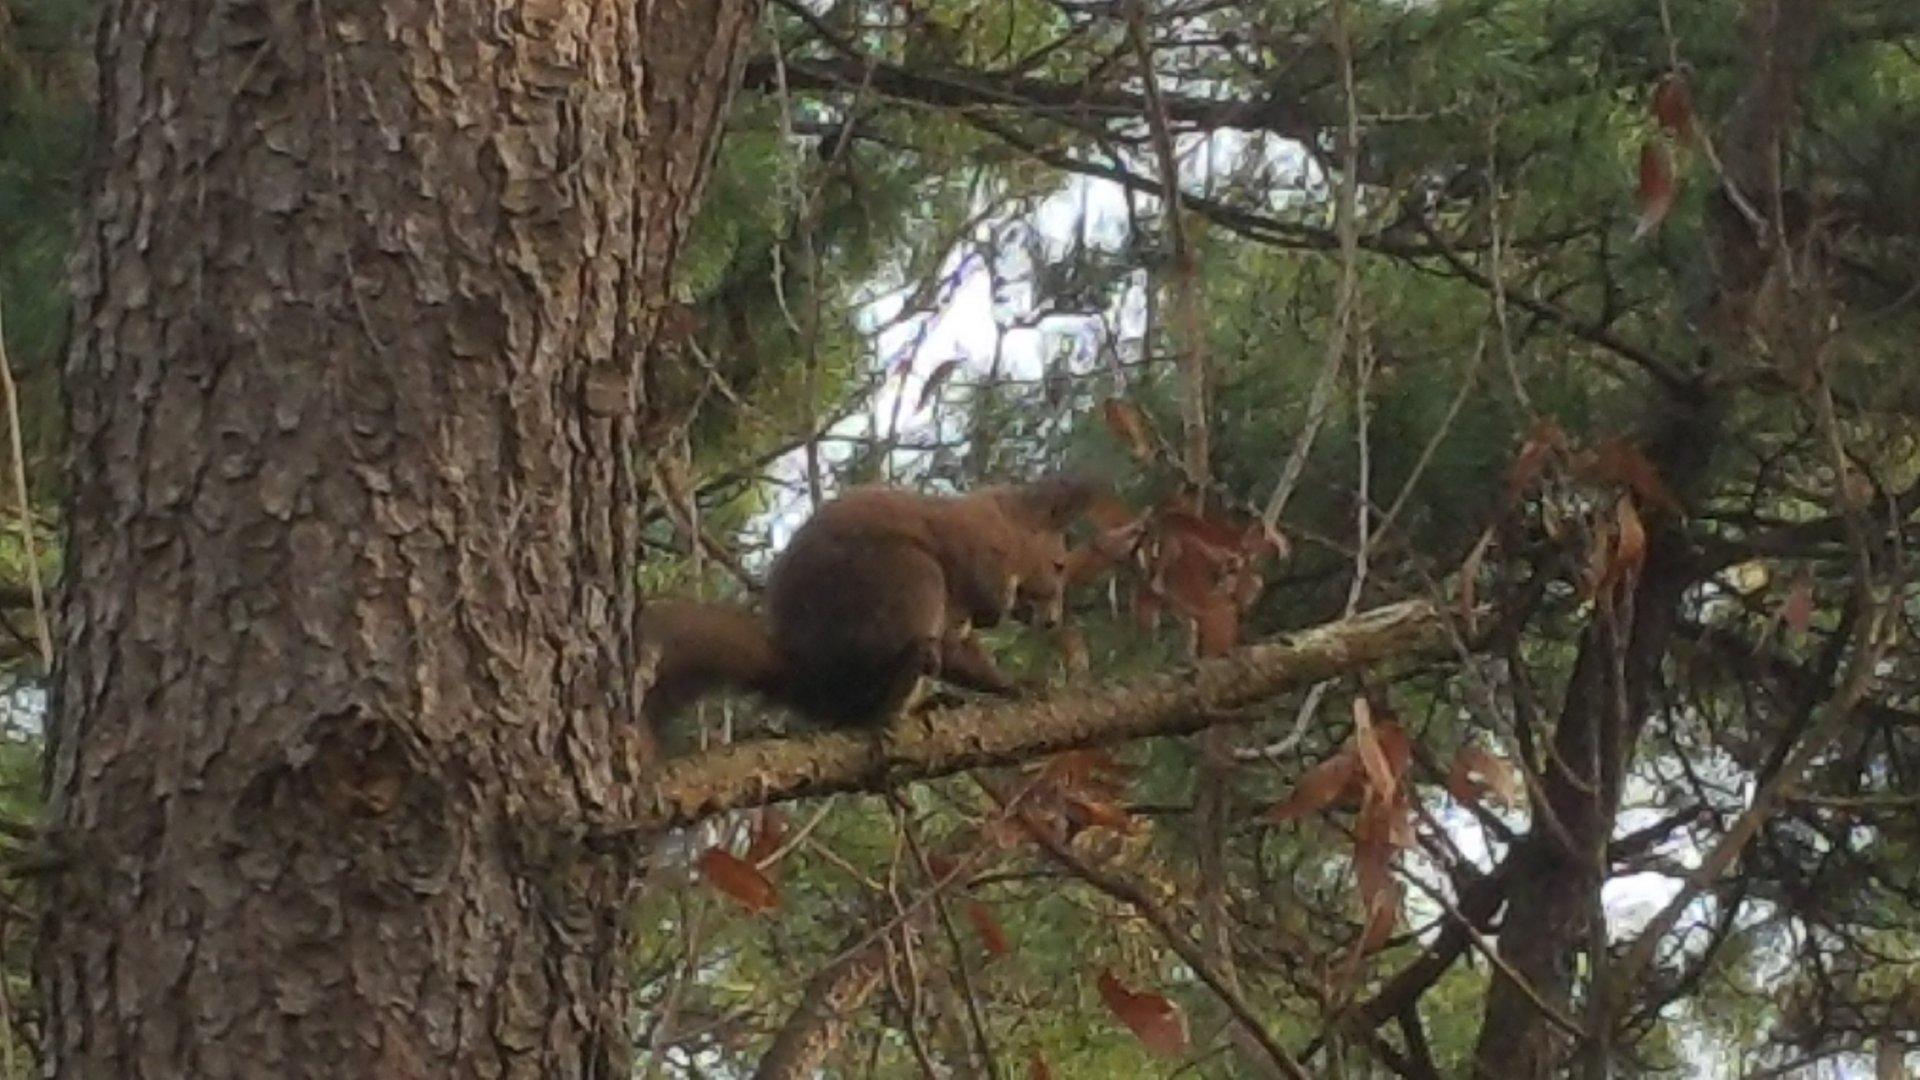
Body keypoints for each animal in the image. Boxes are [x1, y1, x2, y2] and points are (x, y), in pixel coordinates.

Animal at [638, 472, 1100, 735]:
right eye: (1059, 564)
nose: (1052, 620)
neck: (1005, 526)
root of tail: (811, 681)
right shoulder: (976, 548)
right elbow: (983, 592)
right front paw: (1002, 624)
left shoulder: (957, 622)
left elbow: (965, 655)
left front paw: (1016, 686)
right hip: (910, 579)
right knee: (868, 709)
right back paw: (895, 699)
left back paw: (928, 702)